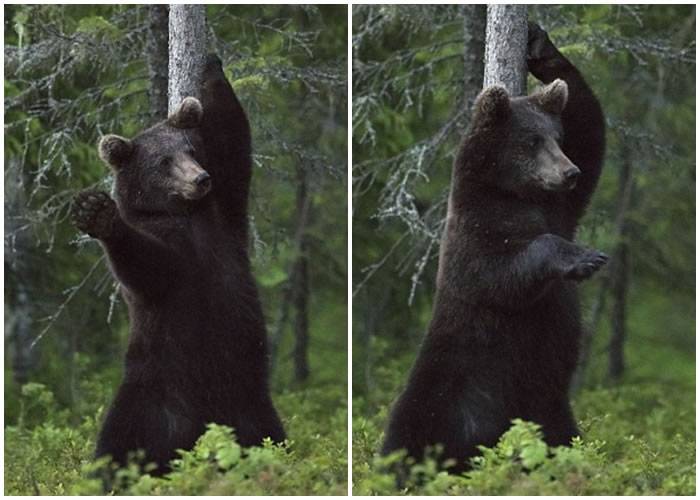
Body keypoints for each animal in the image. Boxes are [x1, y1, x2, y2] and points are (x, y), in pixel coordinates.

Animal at [73, 54, 284, 476]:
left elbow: (234, 135)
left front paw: (212, 66)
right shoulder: (171, 253)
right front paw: (98, 213)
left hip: (250, 402)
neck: (186, 212)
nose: (200, 179)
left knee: (270, 436)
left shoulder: (226, 210)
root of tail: (199, 431)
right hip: (152, 392)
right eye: (163, 161)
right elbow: (145, 266)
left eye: (191, 150)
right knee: (118, 443)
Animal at [382, 24, 608, 472]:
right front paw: (585, 257)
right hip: (446, 388)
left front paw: (540, 44)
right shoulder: (474, 234)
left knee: (563, 438)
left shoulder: (562, 206)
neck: (516, 194)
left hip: (550, 410)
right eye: (532, 141)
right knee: (408, 432)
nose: (568, 172)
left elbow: (590, 127)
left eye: (557, 138)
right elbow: (500, 274)